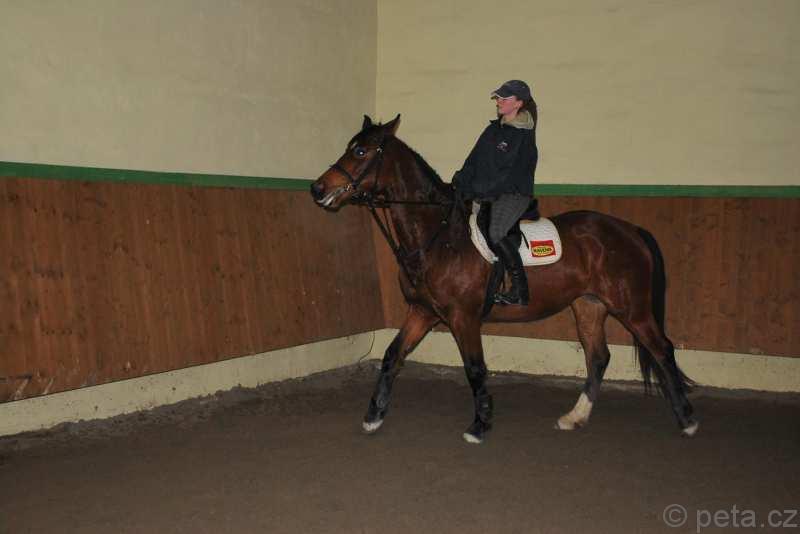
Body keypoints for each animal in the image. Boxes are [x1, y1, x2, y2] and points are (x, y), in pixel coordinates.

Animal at [310, 115, 698, 444]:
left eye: (360, 151)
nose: (317, 188)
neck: (437, 236)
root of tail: (629, 230)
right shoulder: (423, 312)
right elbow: (393, 356)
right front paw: (373, 416)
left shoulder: (462, 317)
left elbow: (475, 368)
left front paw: (480, 425)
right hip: (589, 306)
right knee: (598, 356)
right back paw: (575, 417)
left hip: (631, 308)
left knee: (662, 349)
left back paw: (687, 420)